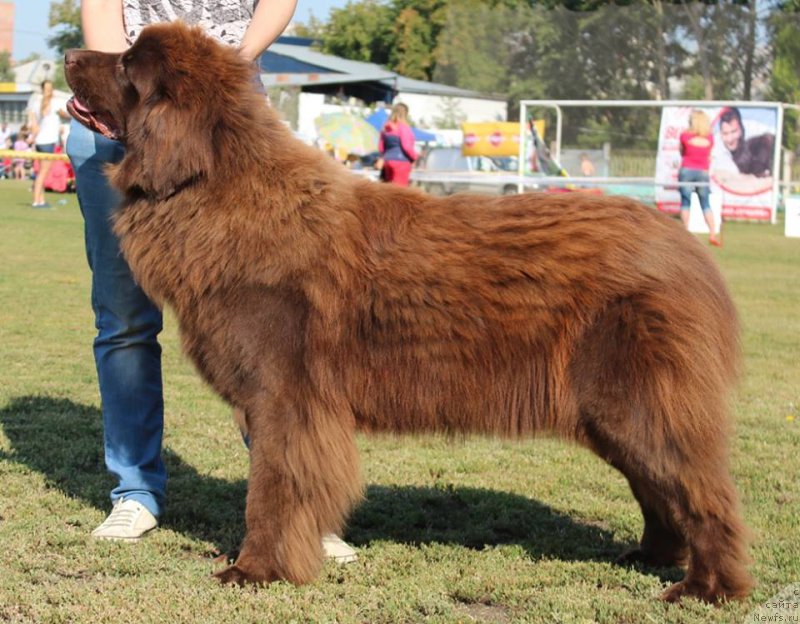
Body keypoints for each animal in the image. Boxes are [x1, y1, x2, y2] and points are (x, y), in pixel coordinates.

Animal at [64, 23, 752, 600]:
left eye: (126, 63)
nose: (69, 53)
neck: (216, 186)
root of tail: (682, 243)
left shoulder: (284, 398)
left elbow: (273, 489)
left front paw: (255, 570)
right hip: (618, 412)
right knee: (660, 489)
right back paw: (651, 558)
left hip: (637, 401)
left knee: (702, 490)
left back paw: (707, 587)